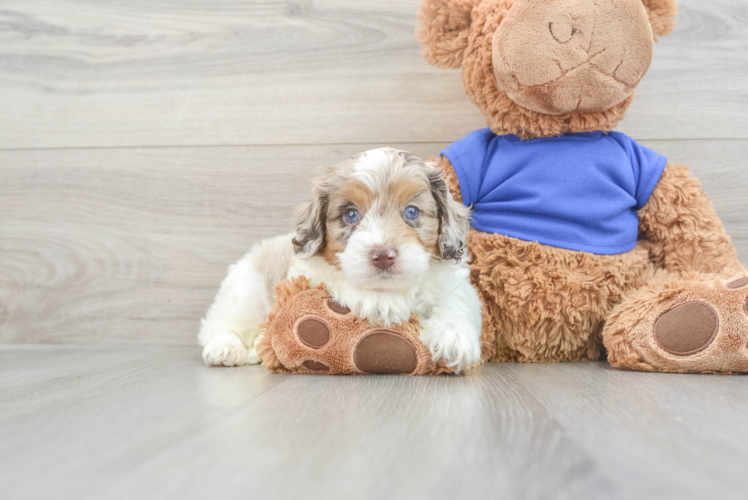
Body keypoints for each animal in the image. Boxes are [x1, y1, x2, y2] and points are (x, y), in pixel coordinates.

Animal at [197, 148, 486, 372]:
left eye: (412, 212)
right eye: (351, 215)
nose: (383, 255)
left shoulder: (454, 283)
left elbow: (456, 302)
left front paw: (453, 337)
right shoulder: (307, 273)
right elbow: (336, 276)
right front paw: (378, 300)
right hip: (246, 289)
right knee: (220, 322)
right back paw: (226, 348)